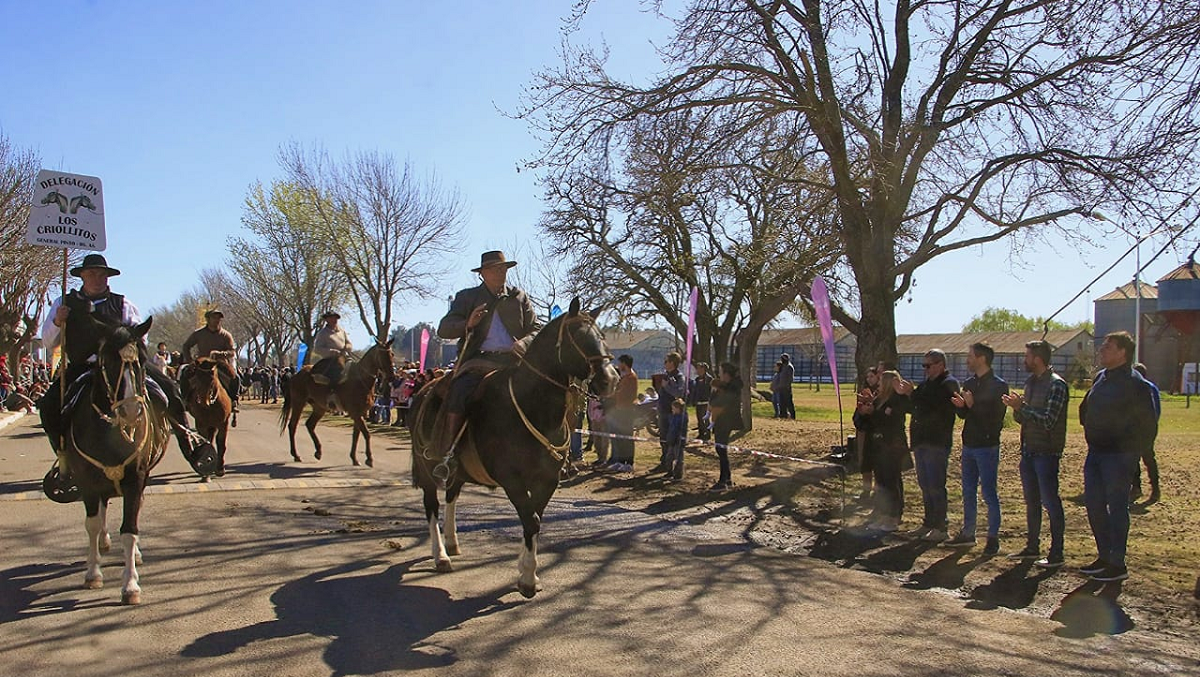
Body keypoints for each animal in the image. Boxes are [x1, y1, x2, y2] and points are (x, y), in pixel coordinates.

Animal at [278, 340, 396, 468]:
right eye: (382, 355)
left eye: (392, 354)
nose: (392, 377)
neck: (361, 380)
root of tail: (296, 375)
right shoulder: (355, 413)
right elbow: (366, 433)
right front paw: (369, 459)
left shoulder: (360, 413)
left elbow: (356, 435)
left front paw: (354, 458)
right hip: (298, 403)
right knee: (292, 425)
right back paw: (296, 455)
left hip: (319, 407)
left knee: (310, 425)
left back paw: (318, 452)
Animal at [412, 297, 619, 597]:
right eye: (578, 337)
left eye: (601, 336)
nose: (610, 379)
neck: (531, 407)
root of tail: (422, 391)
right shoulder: (512, 479)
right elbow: (530, 519)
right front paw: (528, 580)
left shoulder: (547, 480)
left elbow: (534, 519)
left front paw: (526, 571)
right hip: (427, 469)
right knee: (432, 504)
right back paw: (441, 555)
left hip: (459, 472)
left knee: (451, 497)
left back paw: (451, 542)